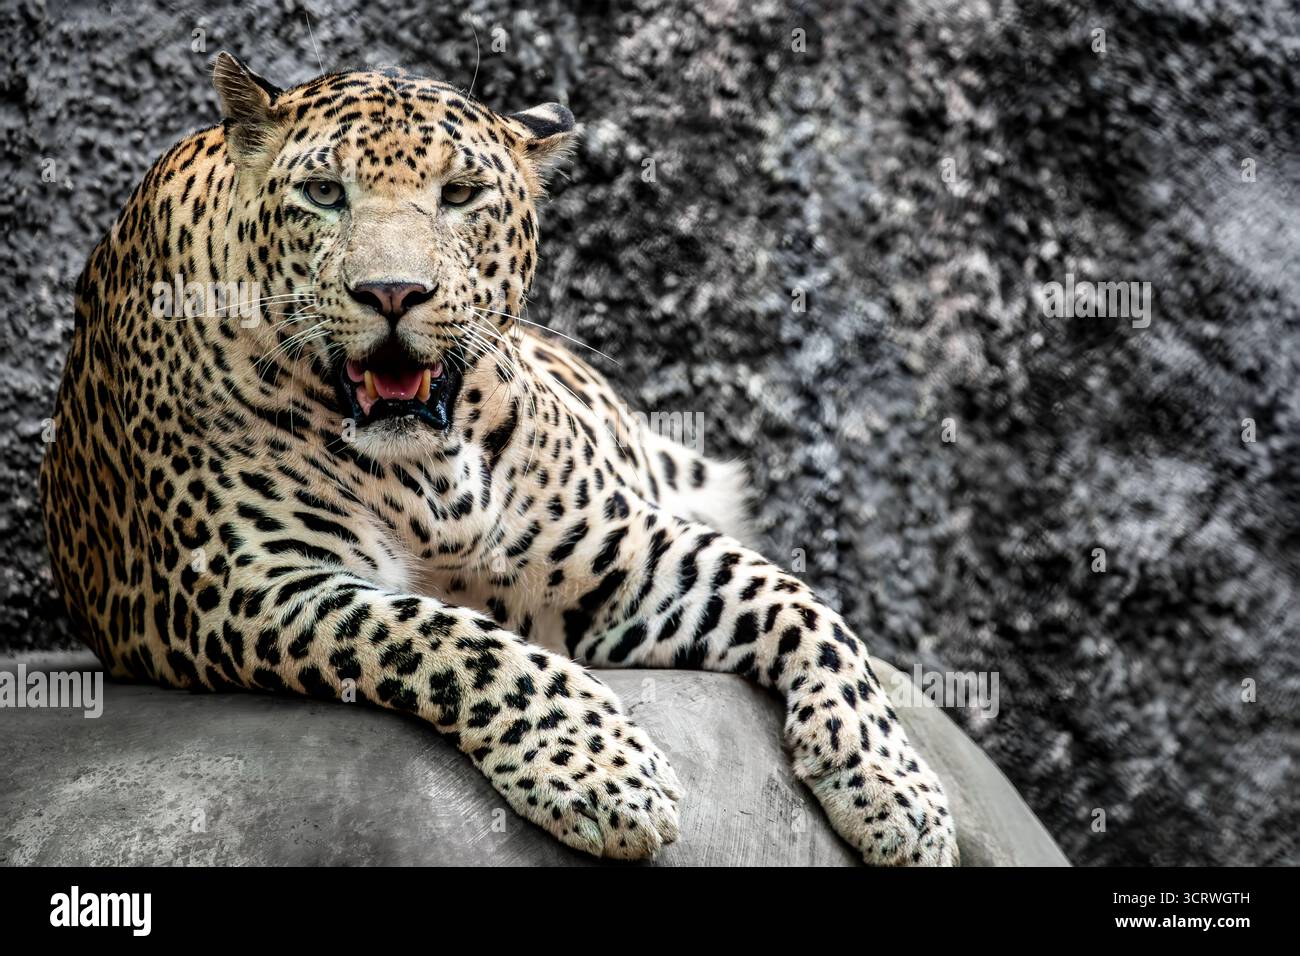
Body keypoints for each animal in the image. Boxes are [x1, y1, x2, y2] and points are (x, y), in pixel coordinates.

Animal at [39, 52, 958, 865]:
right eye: (325, 194)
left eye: (461, 195)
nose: (393, 293)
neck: (426, 472)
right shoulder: (245, 583)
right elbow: (445, 638)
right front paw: (602, 772)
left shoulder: (619, 548)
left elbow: (801, 605)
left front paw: (899, 791)